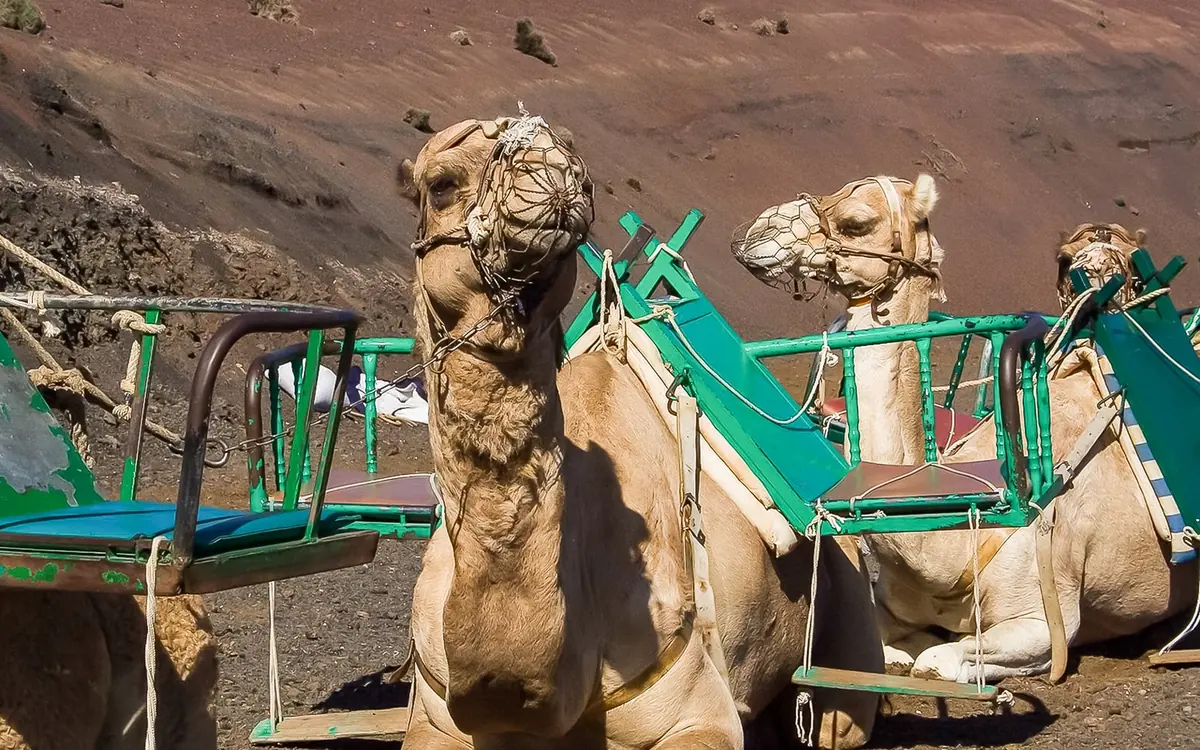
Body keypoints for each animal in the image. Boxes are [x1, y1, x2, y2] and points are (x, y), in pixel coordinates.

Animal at [395, 112, 883, 749]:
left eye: (572, 152)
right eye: (442, 184)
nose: (550, 168)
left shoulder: (695, 708)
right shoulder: (436, 718)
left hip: (846, 607)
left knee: (834, 717)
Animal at [732, 177, 1199, 684]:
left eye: (857, 222)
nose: (754, 233)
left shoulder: (1043, 621)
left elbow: (937, 661)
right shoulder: (889, 602)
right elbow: (884, 644)